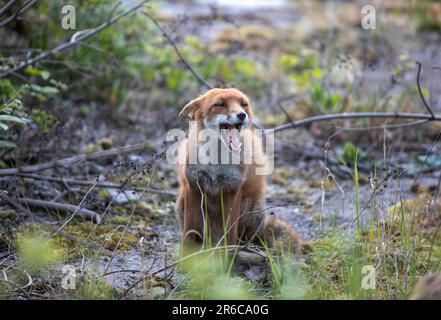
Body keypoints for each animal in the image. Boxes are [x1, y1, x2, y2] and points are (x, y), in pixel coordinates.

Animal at [175, 87, 302, 255]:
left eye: (243, 104)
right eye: (220, 104)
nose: (242, 115)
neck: (216, 162)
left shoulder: (233, 188)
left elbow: (230, 234)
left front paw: (227, 255)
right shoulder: (194, 186)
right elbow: (190, 232)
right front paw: (187, 257)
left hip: (252, 209)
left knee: (243, 238)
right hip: (181, 203)